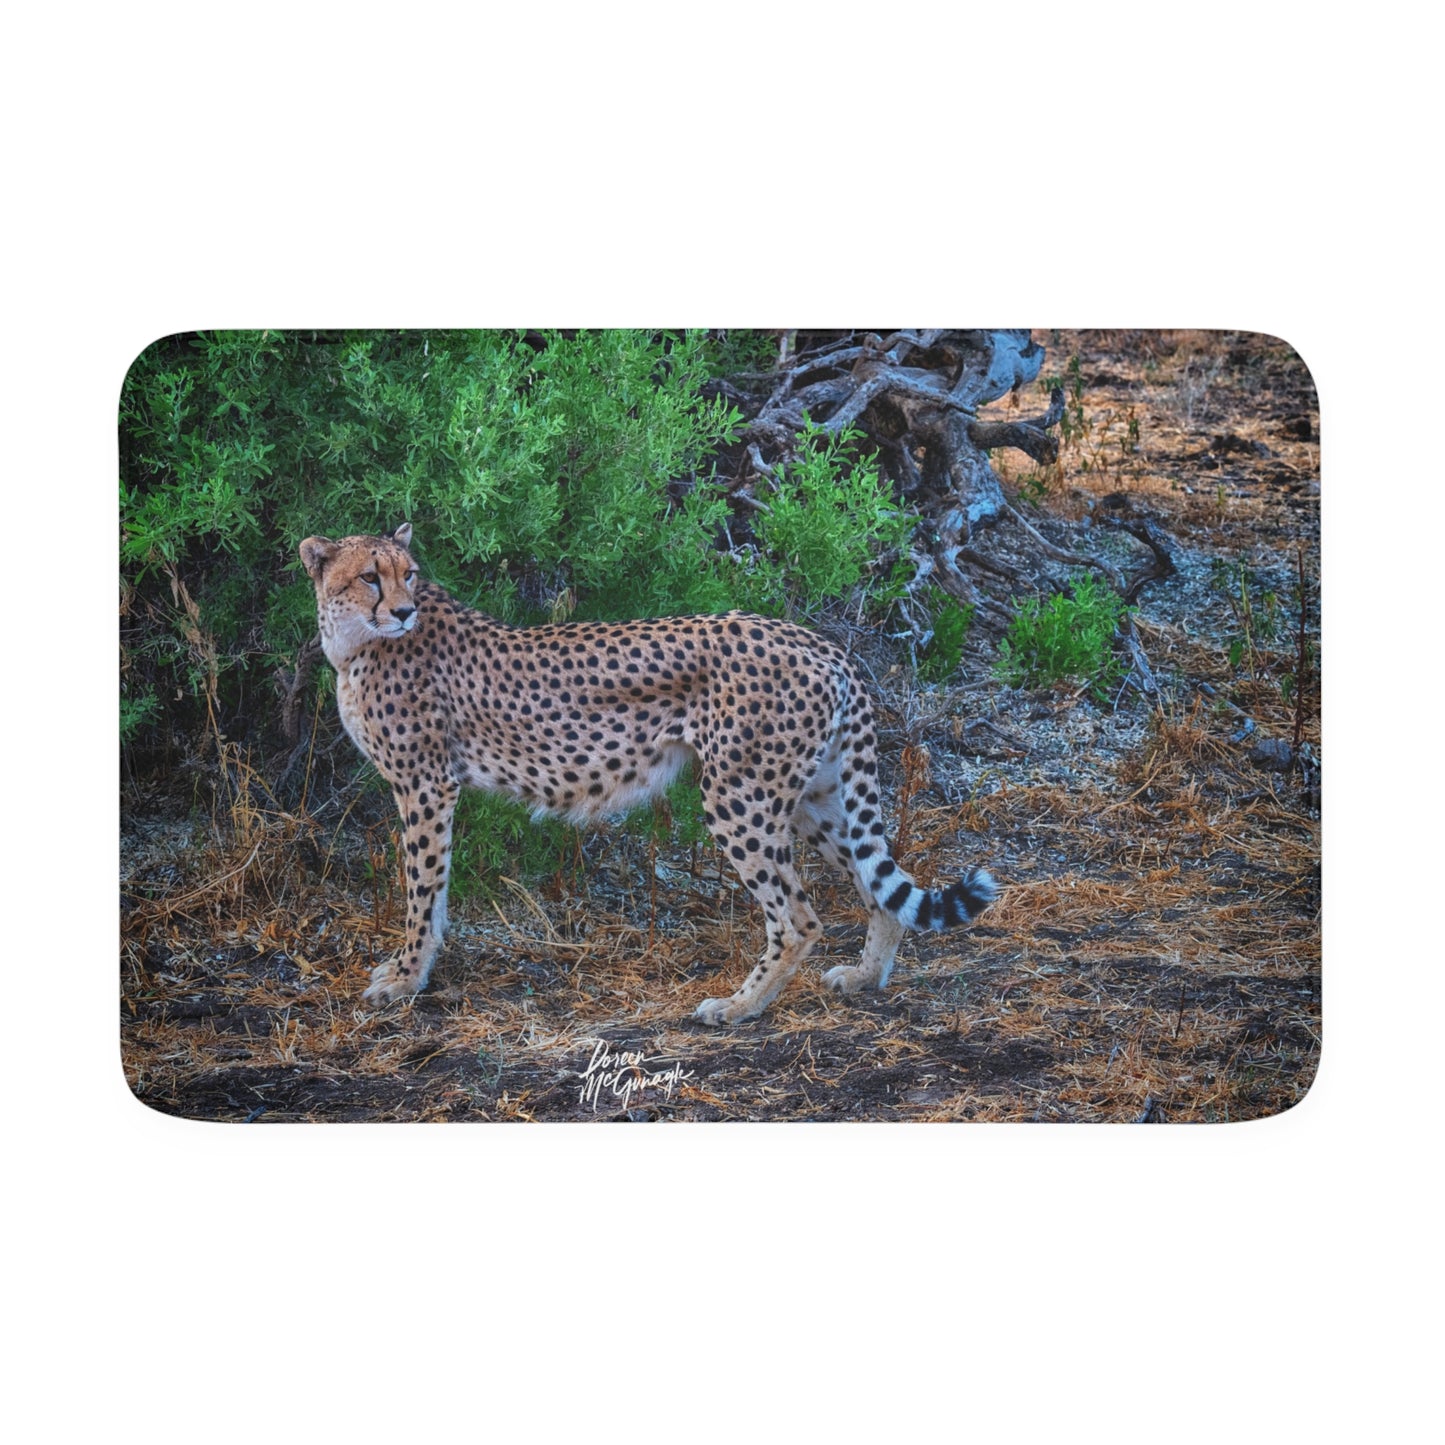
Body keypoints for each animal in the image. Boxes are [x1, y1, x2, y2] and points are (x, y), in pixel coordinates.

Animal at [299, 523, 998, 1025]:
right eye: (370, 577)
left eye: (408, 574)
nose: (404, 610)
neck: (356, 641)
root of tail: (816, 640)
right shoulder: (430, 786)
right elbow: (435, 889)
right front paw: (415, 971)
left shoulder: (425, 784)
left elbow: (422, 888)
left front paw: (405, 978)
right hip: (813, 796)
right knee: (878, 884)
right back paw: (863, 977)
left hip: (738, 795)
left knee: (799, 917)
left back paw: (739, 1007)